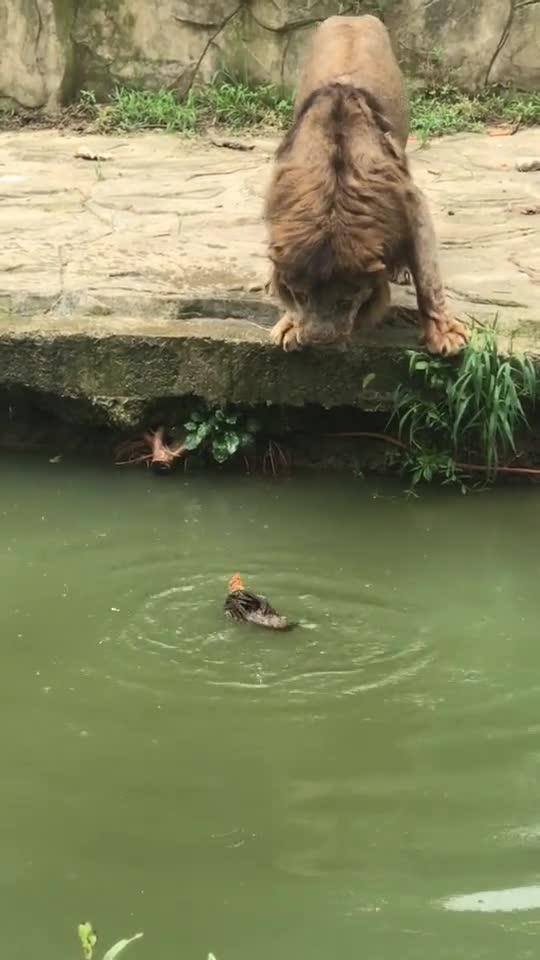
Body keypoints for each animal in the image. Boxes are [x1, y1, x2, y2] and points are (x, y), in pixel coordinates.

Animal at [266, 16, 468, 354]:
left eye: (346, 301)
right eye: (301, 295)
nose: (320, 341)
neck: (333, 194)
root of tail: (353, 16)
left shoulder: (410, 202)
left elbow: (428, 277)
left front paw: (444, 334)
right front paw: (289, 324)